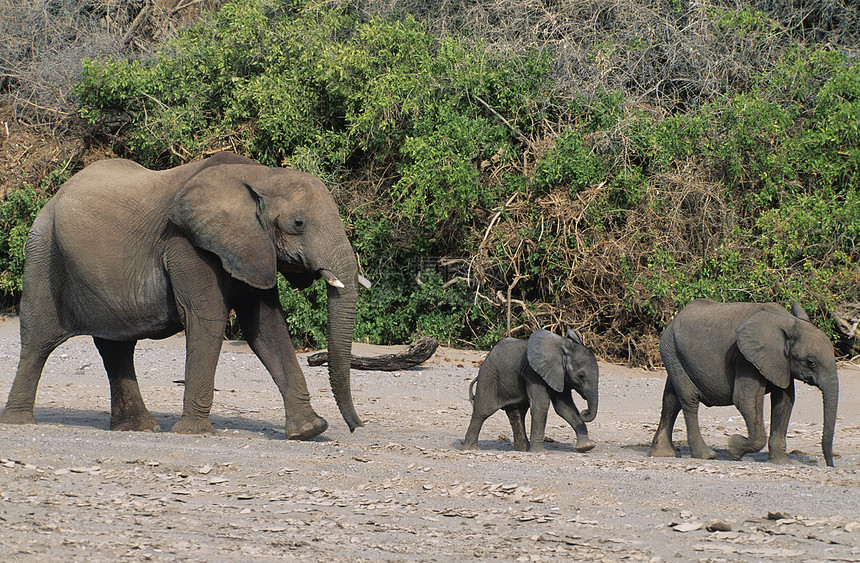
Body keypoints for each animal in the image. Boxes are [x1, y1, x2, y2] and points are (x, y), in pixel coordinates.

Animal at [0, 151, 362, 440]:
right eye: (298, 223)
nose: (355, 427)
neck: (260, 175)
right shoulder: (187, 244)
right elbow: (209, 318)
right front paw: (195, 433)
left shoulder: (251, 247)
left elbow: (267, 328)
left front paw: (309, 431)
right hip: (43, 251)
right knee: (38, 340)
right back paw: (19, 422)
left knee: (116, 347)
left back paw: (139, 428)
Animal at [464, 330, 596, 454]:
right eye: (581, 376)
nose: (585, 412)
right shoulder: (533, 372)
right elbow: (541, 405)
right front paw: (539, 452)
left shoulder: (560, 375)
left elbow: (565, 408)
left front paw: (586, 447)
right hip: (488, 376)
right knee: (482, 411)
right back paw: (471, 449)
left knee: (517, 414)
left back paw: (523, 450)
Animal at [652, 300, 840, 468]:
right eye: (811, 362)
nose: (830, 465)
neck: (787, 321)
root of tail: (674, 319)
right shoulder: (744, 358)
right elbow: (745, 400)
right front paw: (734, 448)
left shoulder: (781, 363)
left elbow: (784, 402)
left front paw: (781, 463)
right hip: (672, 351)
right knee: (689, 400)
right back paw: (706, 455)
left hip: (674, 356)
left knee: (671, 400)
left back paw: (663, 453)